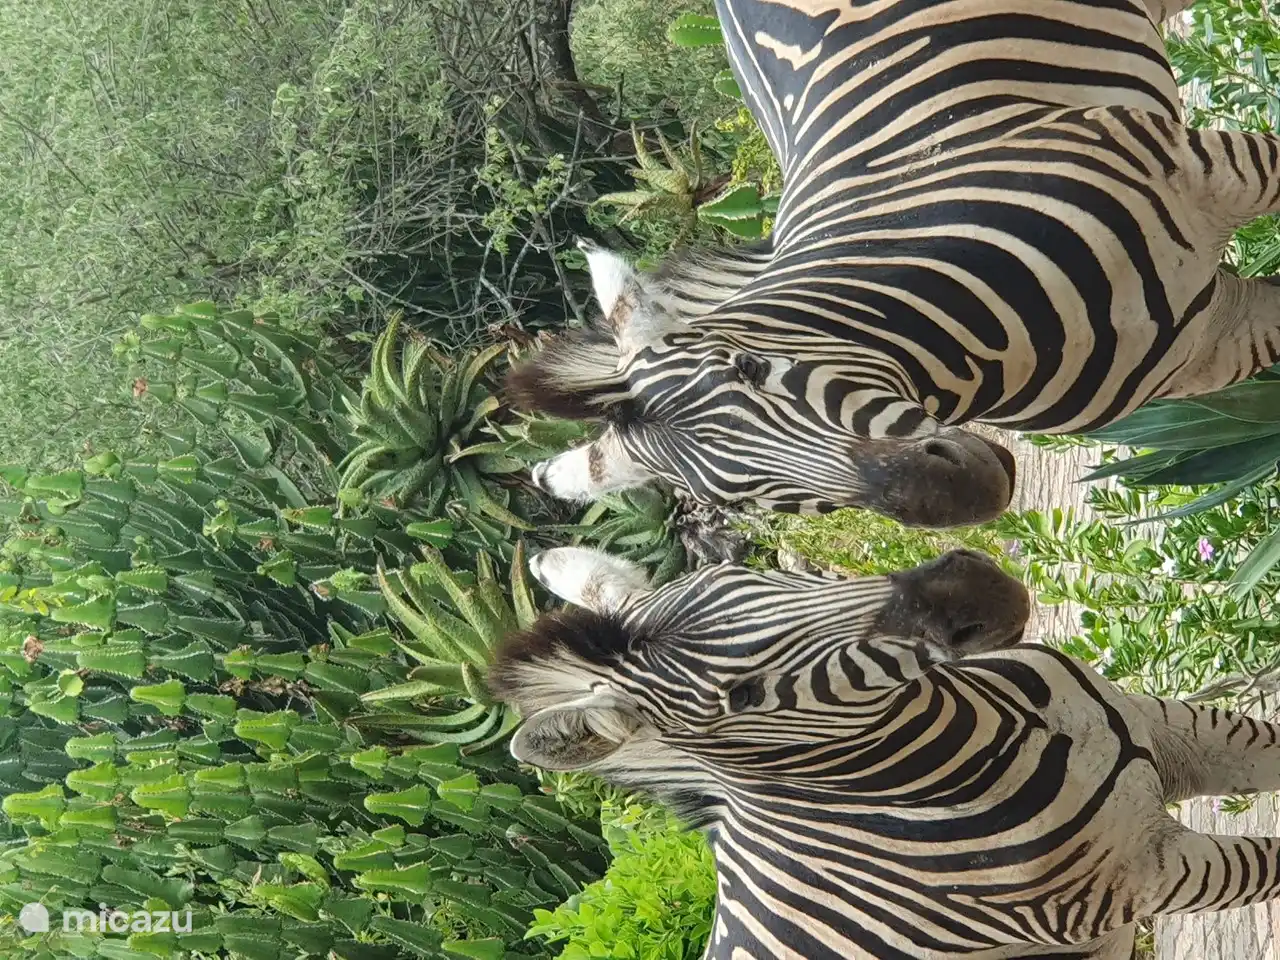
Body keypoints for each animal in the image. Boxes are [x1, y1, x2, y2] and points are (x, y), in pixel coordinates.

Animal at [491, 545, 1280, 959]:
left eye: (753, 573)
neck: (1004, 727)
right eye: (742, 696)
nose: (975, 586)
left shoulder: (1163, 726)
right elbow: (1264, 866)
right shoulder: (1143, 876)